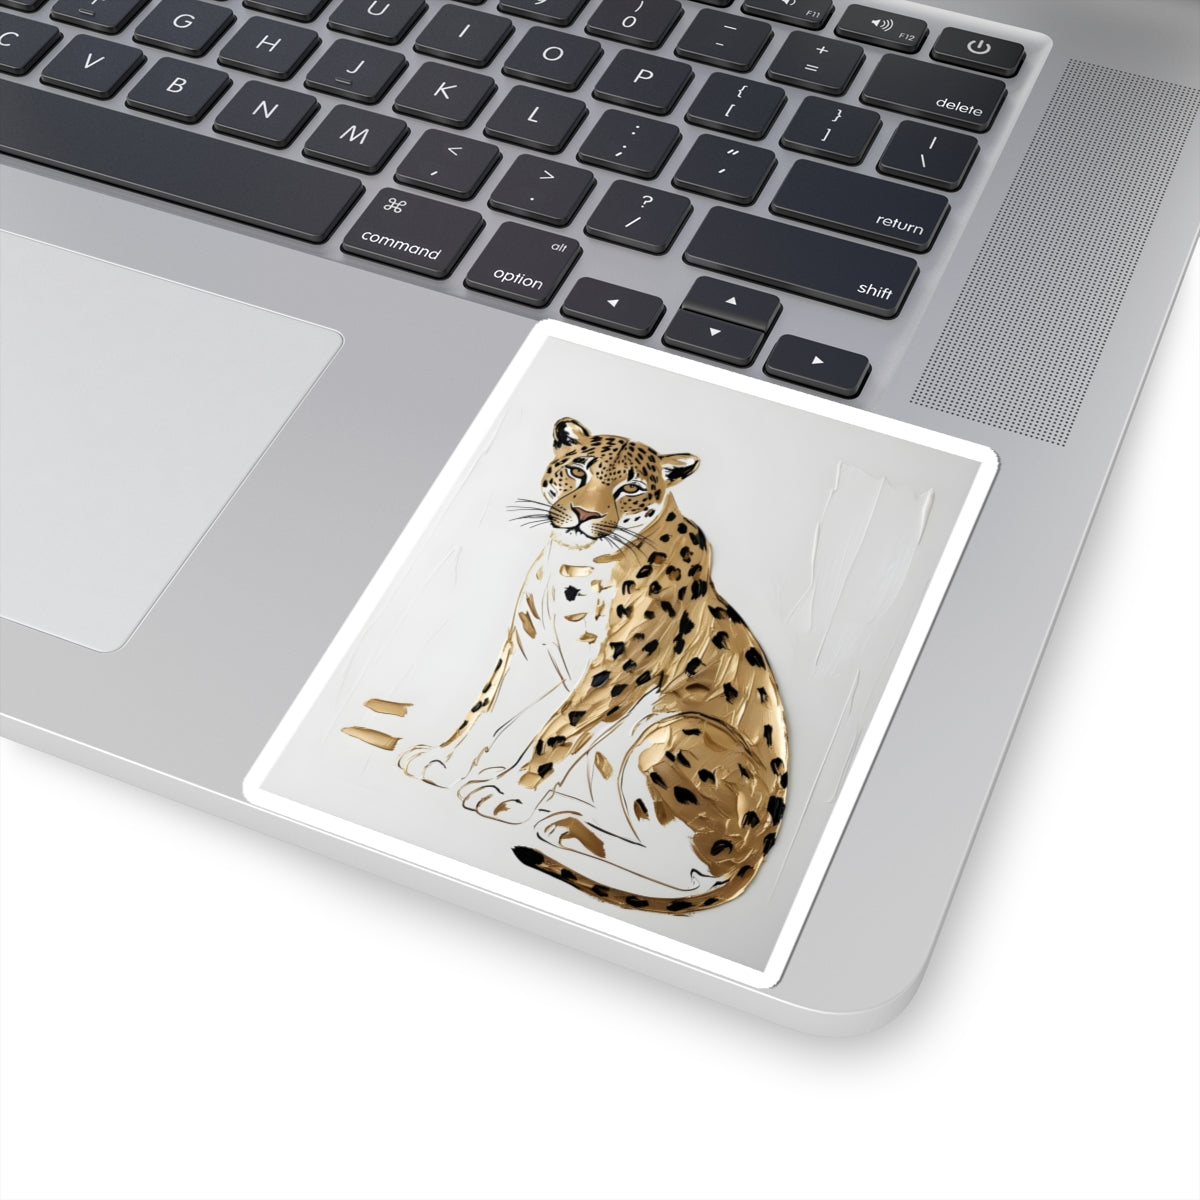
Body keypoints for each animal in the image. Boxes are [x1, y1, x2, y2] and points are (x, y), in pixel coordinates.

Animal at [343, 417, 788, 914]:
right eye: (579, 471)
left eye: (631, 488)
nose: (584, 514)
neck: (575, 565)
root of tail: (761, 848)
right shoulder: (531, 647)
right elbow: (488, 707)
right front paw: (444, 759)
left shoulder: (618, 667)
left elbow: (559, 731)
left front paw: (507, 795)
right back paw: (568, 810)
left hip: (672, 733)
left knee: (686, 869)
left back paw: (568, 828)